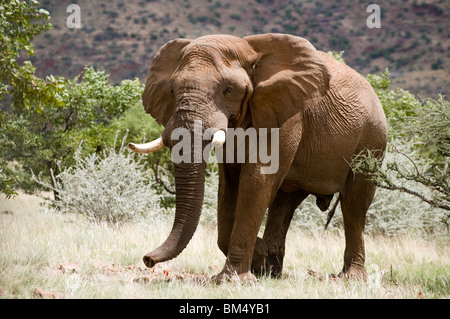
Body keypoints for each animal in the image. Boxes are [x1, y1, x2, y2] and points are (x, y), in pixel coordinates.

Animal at [127, 32, 386, 282]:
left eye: (229, 90)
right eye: (171, 90)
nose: (148, 259)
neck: (250, 50)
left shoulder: (286, 116)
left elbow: (255, 182)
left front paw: (234, 278)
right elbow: (229, 186)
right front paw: (260, 258)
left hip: (371, 140)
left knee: (354, 204)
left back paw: (350, 277)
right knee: (284, 203)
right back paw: (273, 270)